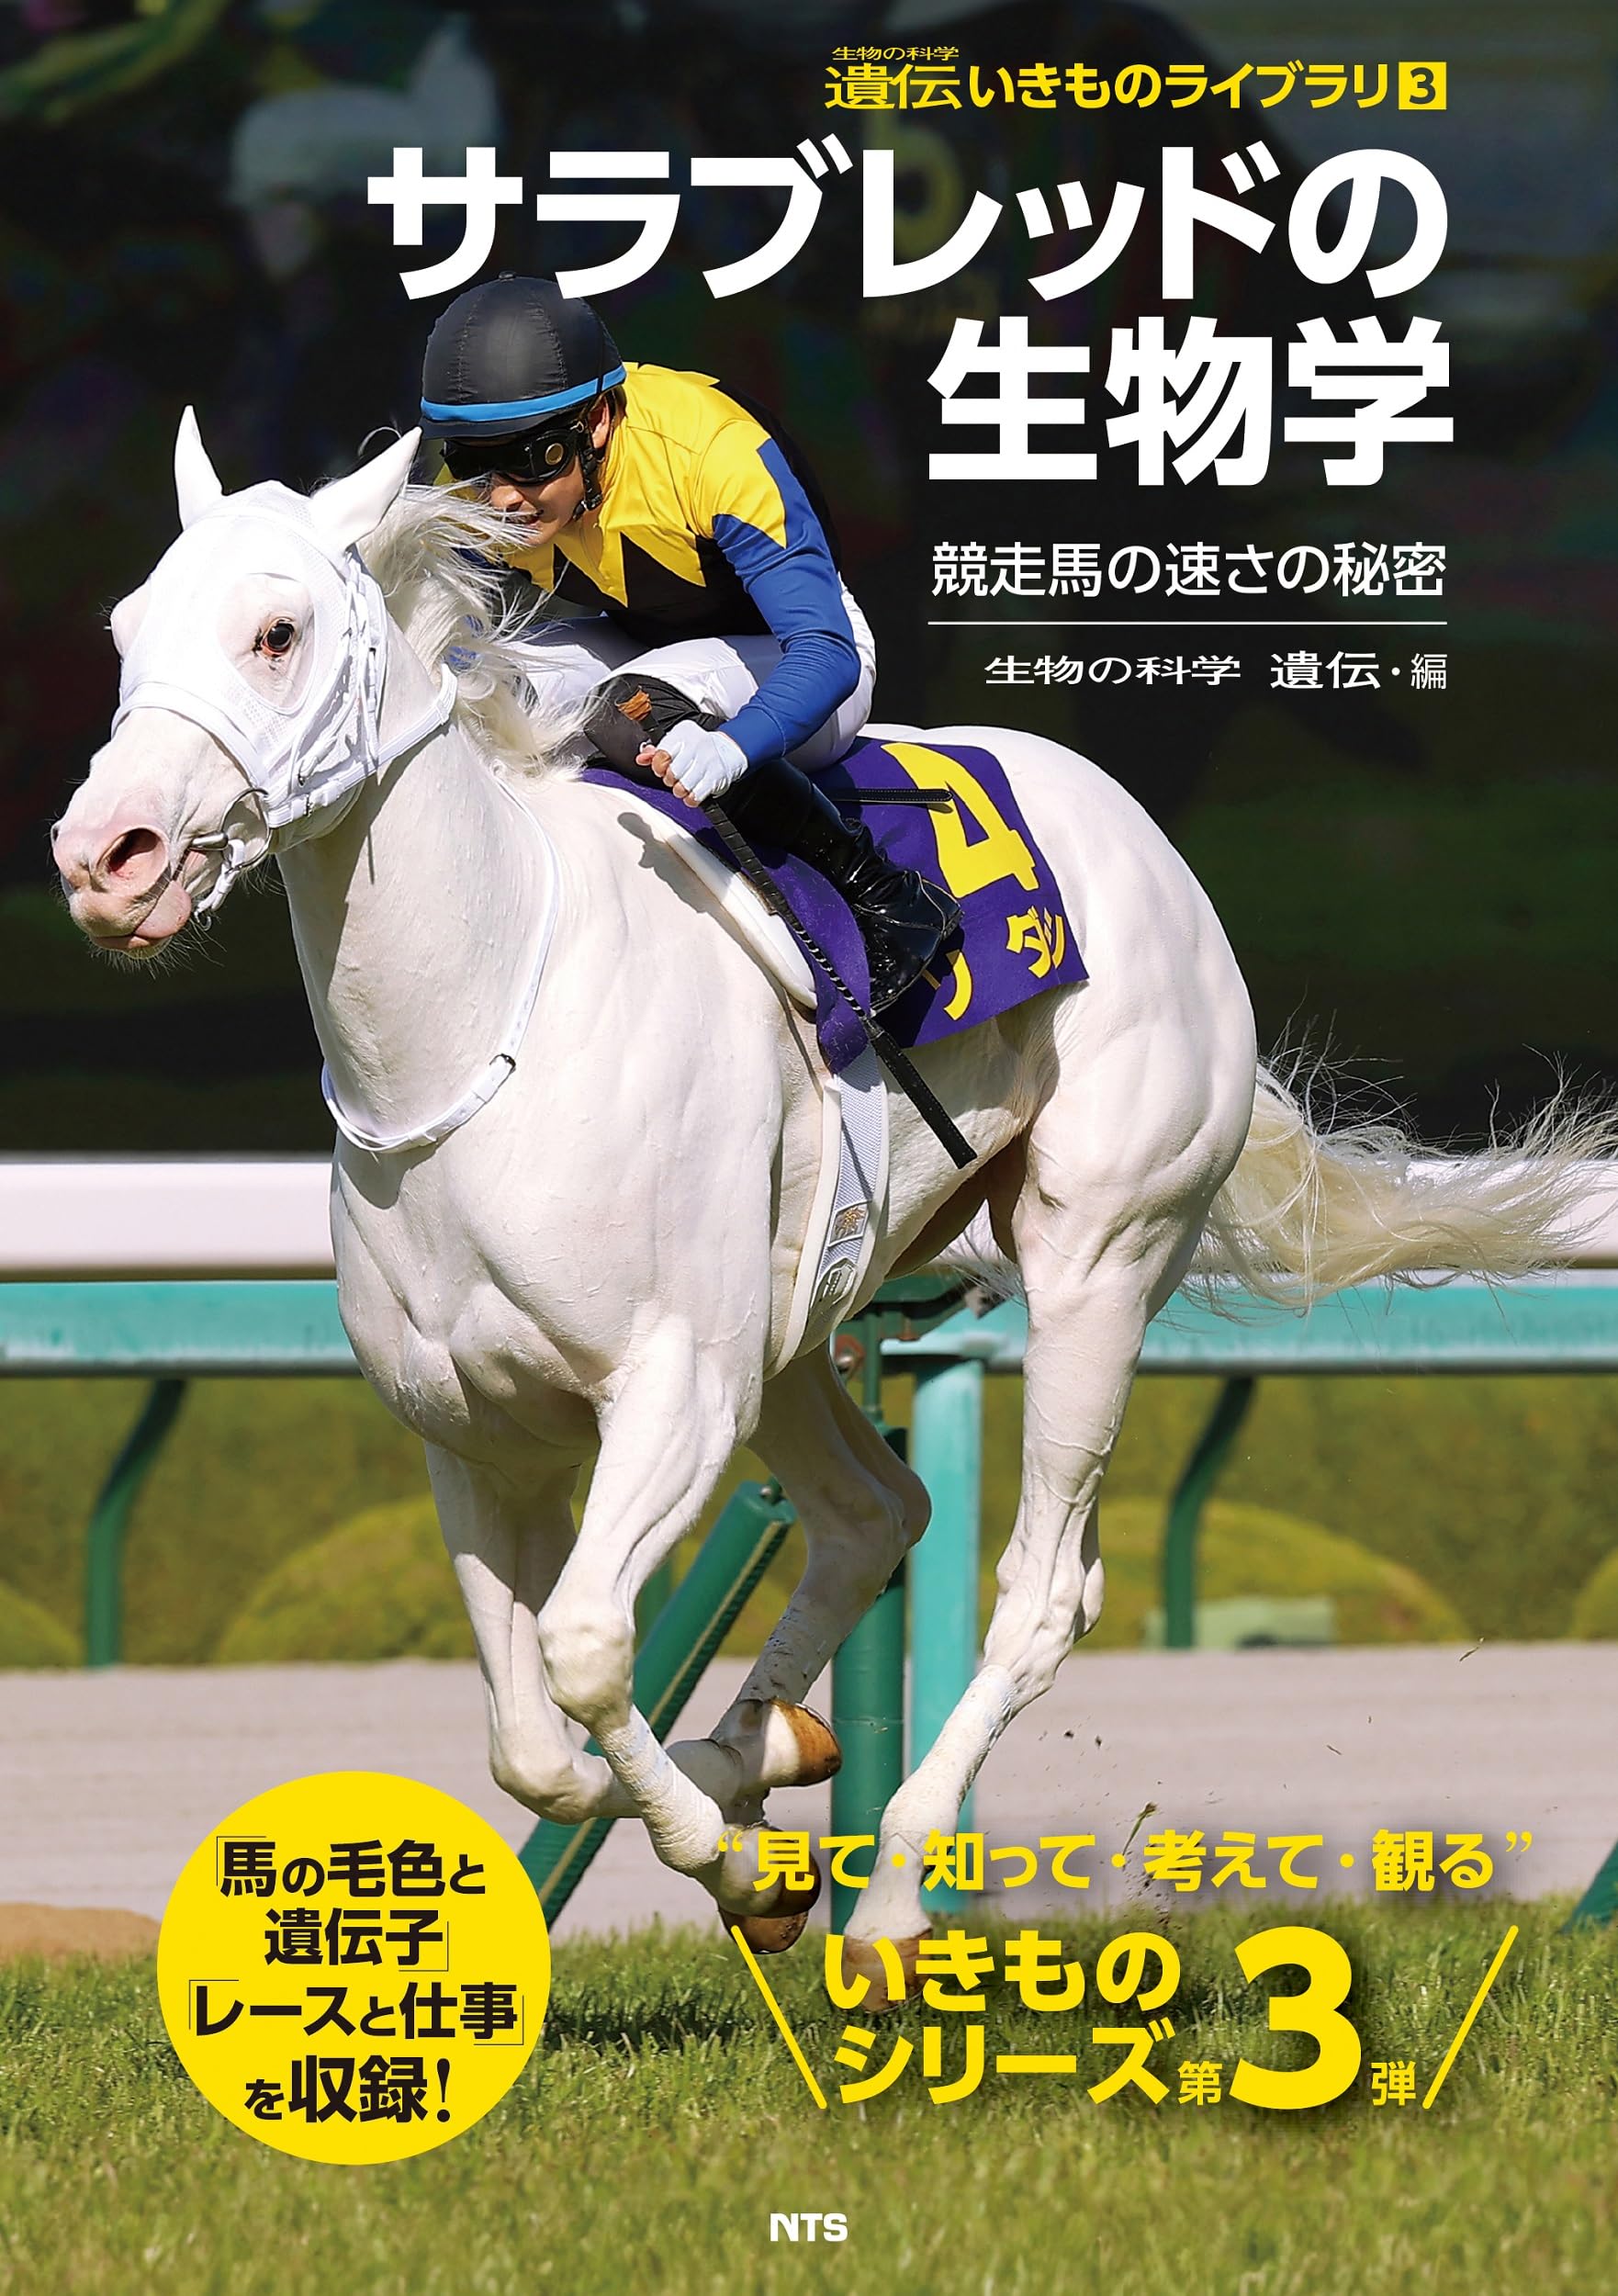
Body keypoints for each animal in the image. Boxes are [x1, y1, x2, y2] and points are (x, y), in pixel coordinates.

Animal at [52, 416, 1600, 1985]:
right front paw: (739, 1811)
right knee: (872, 1512)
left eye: (277, 632)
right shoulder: (472, 1432)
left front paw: (739, 1862)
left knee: (1041, 1590)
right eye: (126, 628)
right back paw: (769, 1749)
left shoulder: (672, 1388)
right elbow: (528, 1743)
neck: (481, 1030)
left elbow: (585, 1653)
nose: (104, 855)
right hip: (798, 1318)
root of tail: (1144, 839)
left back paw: (893, 1896)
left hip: (1097, 1254)